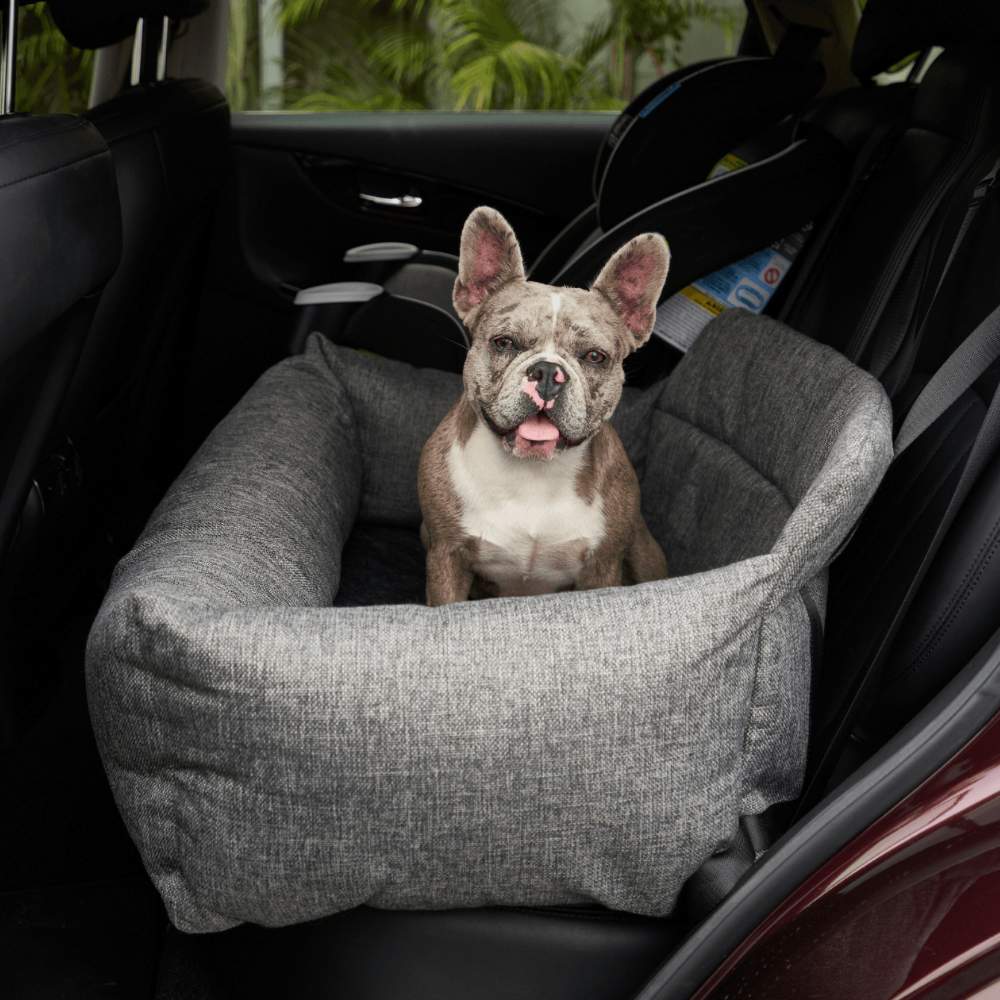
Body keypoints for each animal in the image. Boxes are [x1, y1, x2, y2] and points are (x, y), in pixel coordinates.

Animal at [418, 207, 668, 604]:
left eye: (595, 356)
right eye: (504, 342)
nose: (549, 371)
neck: (532, 473)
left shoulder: (602, 569)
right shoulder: (447, 557)